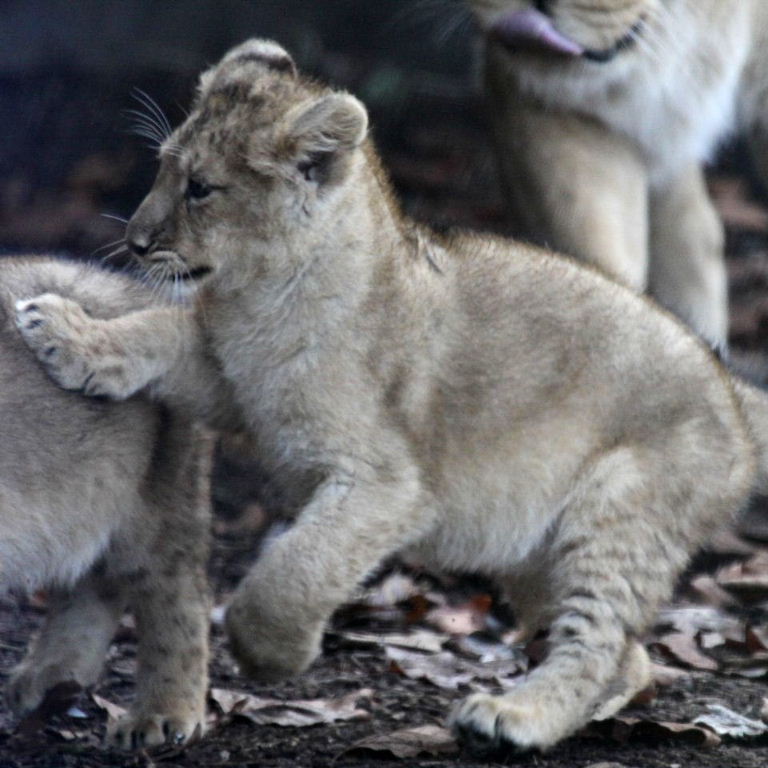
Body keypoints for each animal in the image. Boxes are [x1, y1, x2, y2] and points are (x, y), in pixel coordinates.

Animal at [14, 40, 768, 751]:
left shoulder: (385, 484)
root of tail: (729, 386)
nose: (136, 241)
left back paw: (513, 718)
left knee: (599, 641)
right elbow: (156, 330)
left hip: (621, 512)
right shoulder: (227, 374)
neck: (258, 301)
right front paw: (61, 331)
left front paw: (270, 656)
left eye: (201, 187)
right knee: (629, 661)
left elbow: (294, 570)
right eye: (163, 166)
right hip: (535, 554)